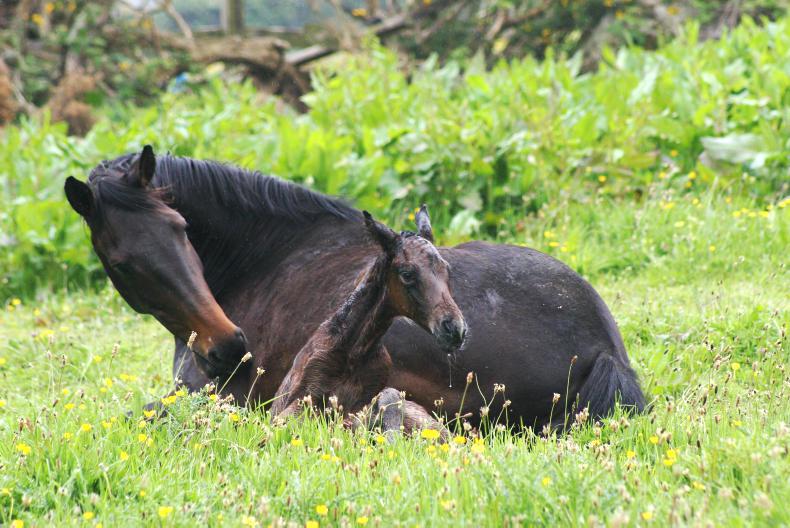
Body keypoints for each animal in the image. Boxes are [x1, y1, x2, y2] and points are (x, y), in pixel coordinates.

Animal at [272, 208, 462, 436]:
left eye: (447, 270)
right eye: (407, 274)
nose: (455, 329)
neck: (355, 352)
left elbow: (385, 401)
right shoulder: (301, 402)